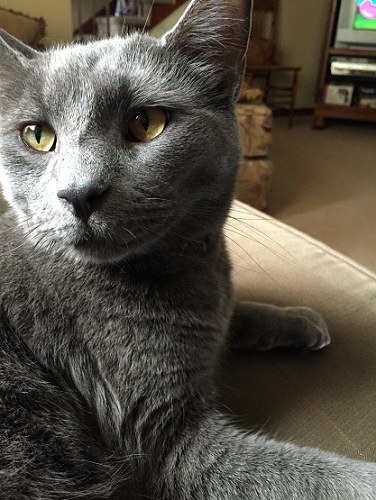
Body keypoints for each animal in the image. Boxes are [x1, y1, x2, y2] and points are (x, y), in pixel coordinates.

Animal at [0, 0, 374, 498]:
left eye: (146, 123)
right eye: (37, 135)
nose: (78, 193)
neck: (194, 270)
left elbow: (237, 312)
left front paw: (299, 319)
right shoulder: (165, 439)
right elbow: (313, 476)